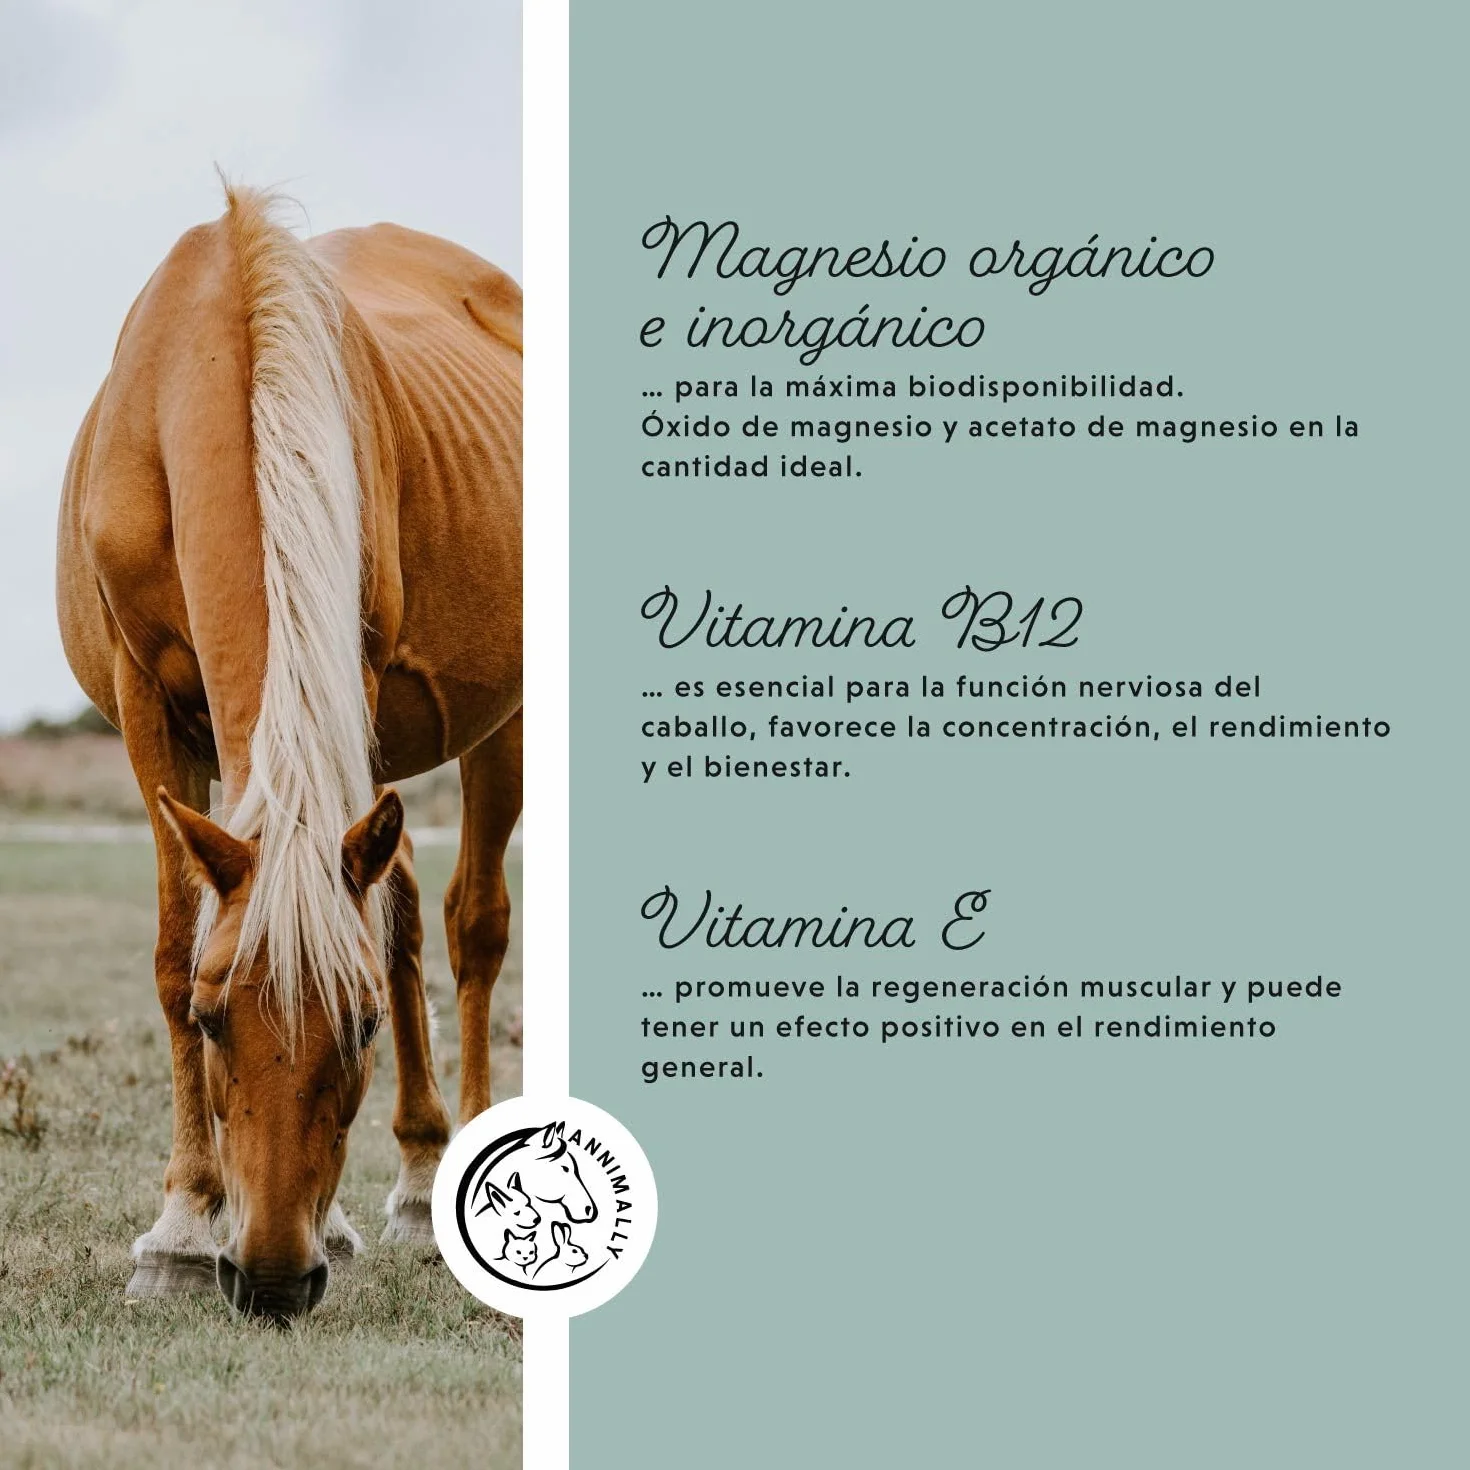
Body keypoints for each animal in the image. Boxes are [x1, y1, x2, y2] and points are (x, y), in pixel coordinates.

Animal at [54, 182, 521, 1321]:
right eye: (215, 1019)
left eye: (359, 1028)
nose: (271, 1278)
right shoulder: (145, 705)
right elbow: (174, 945)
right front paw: (182, 1229)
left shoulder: (354, 669)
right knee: (403, 904)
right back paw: (412, 1181)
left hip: (500, 725)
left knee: (470, 925)